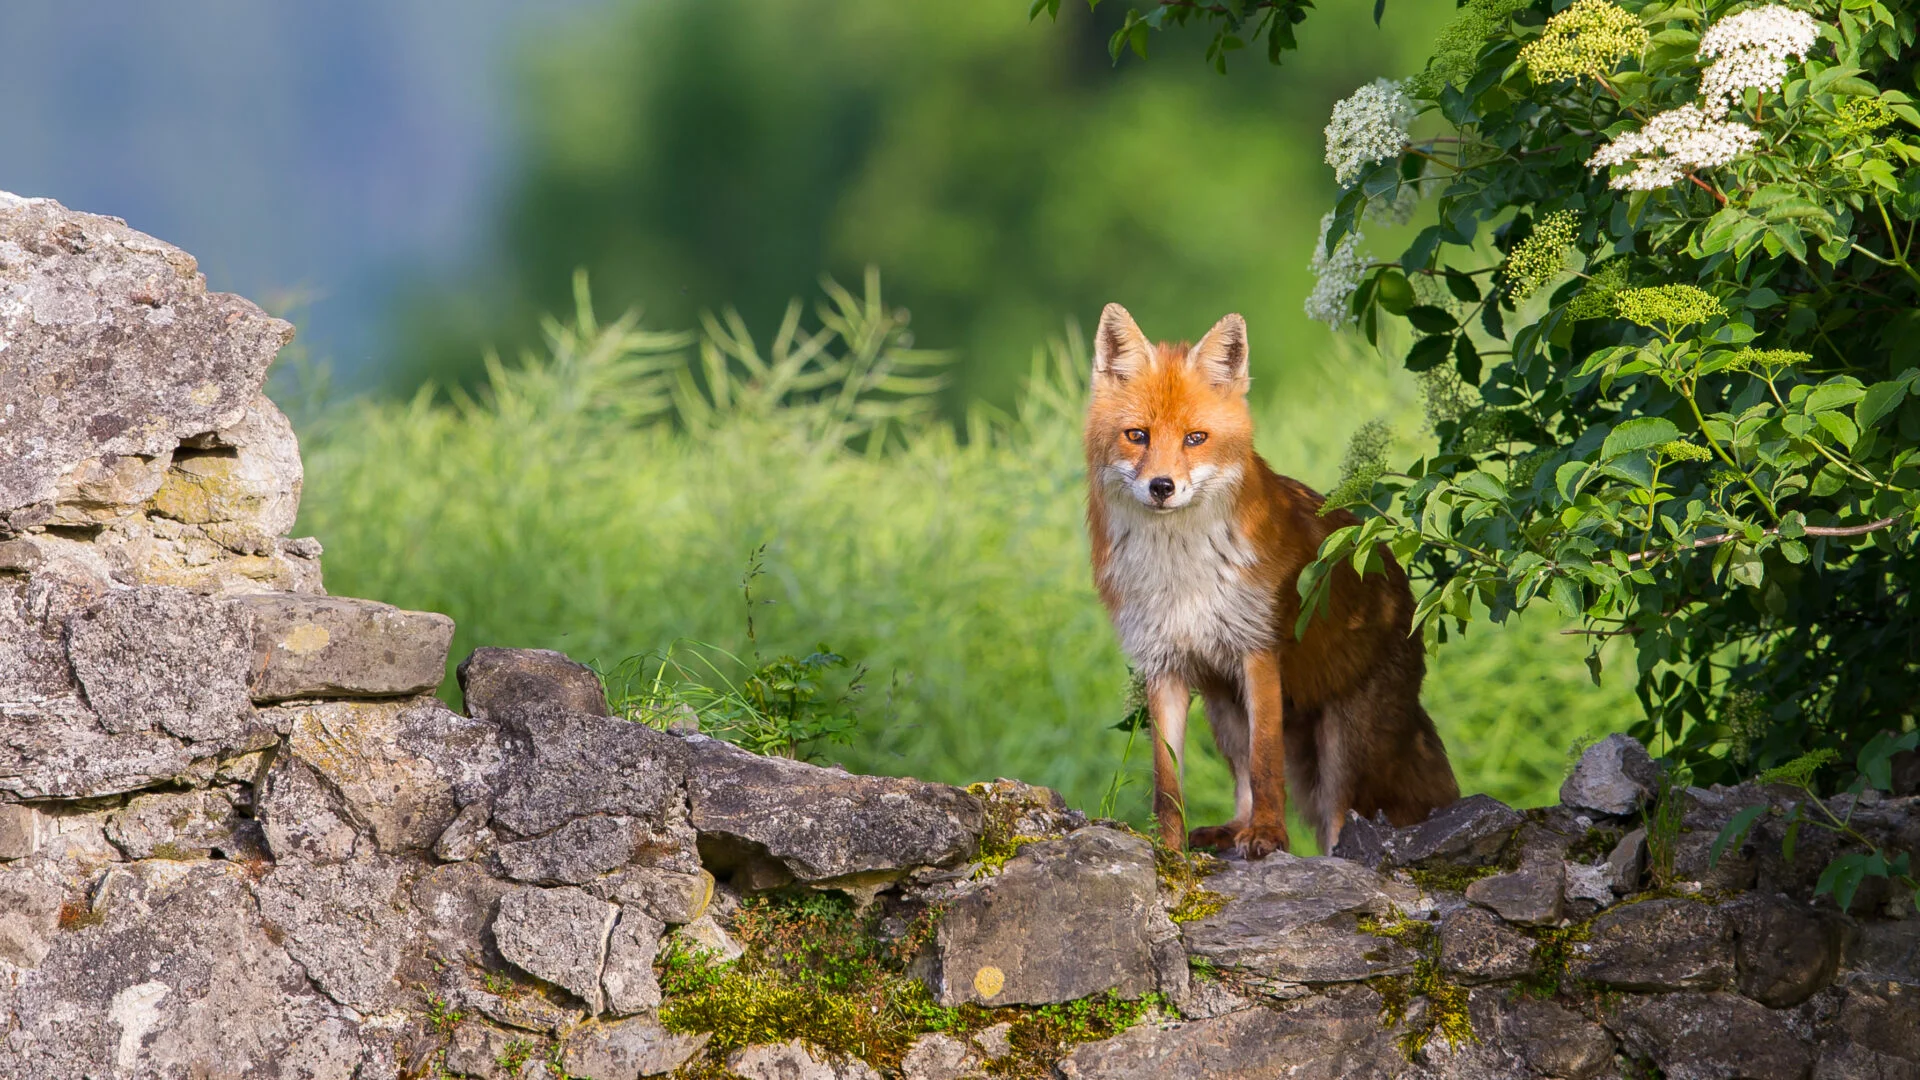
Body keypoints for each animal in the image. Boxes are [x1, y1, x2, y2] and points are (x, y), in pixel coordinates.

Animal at [1084, 303, 1458, 859]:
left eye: (1195, 438)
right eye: (1138, 435)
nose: (1162, 487)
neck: (1182, 572)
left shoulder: (1258, 651)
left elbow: (1267, 764)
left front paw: (1269, 836)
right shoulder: (1165, 665)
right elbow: (1167, 782)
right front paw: (1169, 851)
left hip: (1342, 741)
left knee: (1335, 820)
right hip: (1224, 710)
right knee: (1242, 777)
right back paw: (1231, 829)